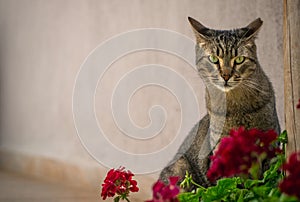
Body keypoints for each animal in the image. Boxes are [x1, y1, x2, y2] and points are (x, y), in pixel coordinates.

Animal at [159, 17, 282, 188]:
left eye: (239, 59)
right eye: (214, 59)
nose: (226, 75)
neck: (237, 107)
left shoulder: (270, 144)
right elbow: (230, 184)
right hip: (180, 167)